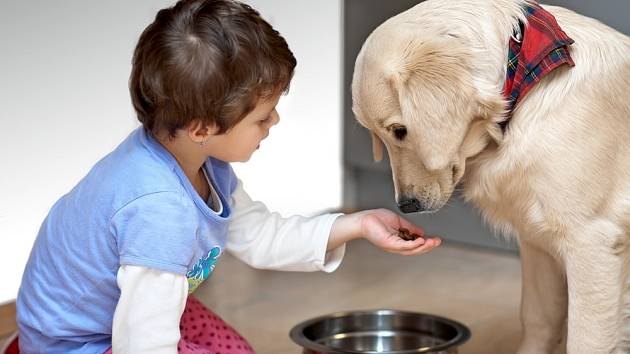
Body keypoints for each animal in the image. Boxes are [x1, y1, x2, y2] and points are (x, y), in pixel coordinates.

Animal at [354, 0, 628, 354]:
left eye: (400, 130)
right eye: (379, 136)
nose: (406, 205)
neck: (525, 84)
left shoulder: (592, 242)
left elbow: (586, 341)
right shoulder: (537, 240)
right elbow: (538, 320)